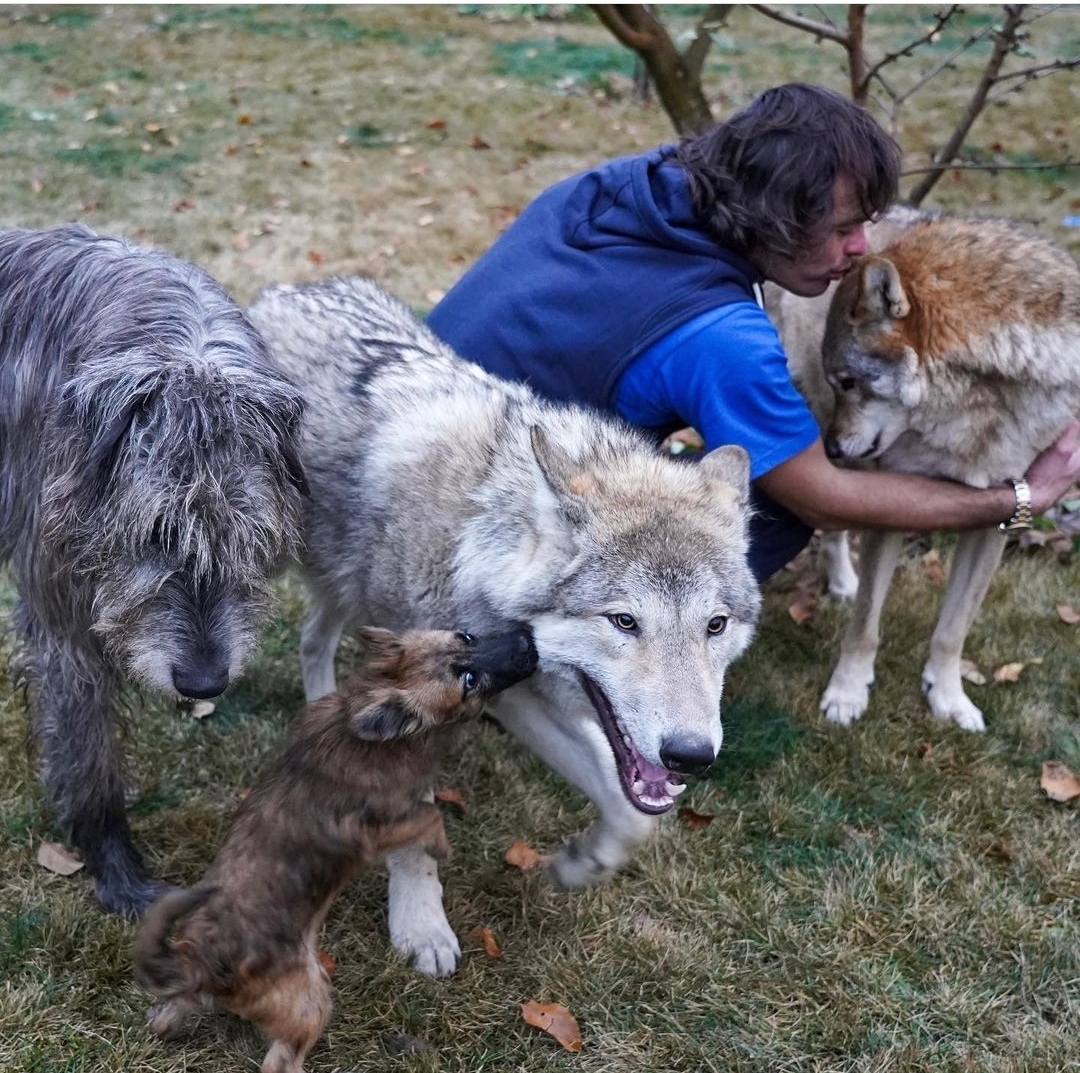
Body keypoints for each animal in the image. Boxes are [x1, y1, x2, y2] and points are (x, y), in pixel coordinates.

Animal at [0, 223, 311, 911]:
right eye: (156, 532)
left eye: (248, 535)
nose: (203, 684)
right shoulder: (63, 616)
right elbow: (88, 756)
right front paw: (117, 870)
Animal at [135, 617, 540, 1070]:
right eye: (469, 681)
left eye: (466, 637)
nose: (527, 638)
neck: (365, 708)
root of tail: (203, 963)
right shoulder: (382, 824)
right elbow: (429, 816)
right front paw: (439, 845)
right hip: (308, 1000)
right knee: (281, 1060)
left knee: (167, 1017)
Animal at [248, 274, 760, 971]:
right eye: (624, 621)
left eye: (714, 625)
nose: (692, 755)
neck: (474, 538)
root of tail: (282, 289)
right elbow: (414, 833)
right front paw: (421, 927)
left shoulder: (519, 691)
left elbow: (635, 816)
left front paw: (579, 865)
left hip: (347, 580)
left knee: (312, 638)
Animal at [807, 211, 1080, 729]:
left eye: (848, 383)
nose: (829, 447)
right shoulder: (891, 504)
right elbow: (866, 627)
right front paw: (848, 693)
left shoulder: (997, 512)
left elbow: (953, 631)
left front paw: (949, 699)